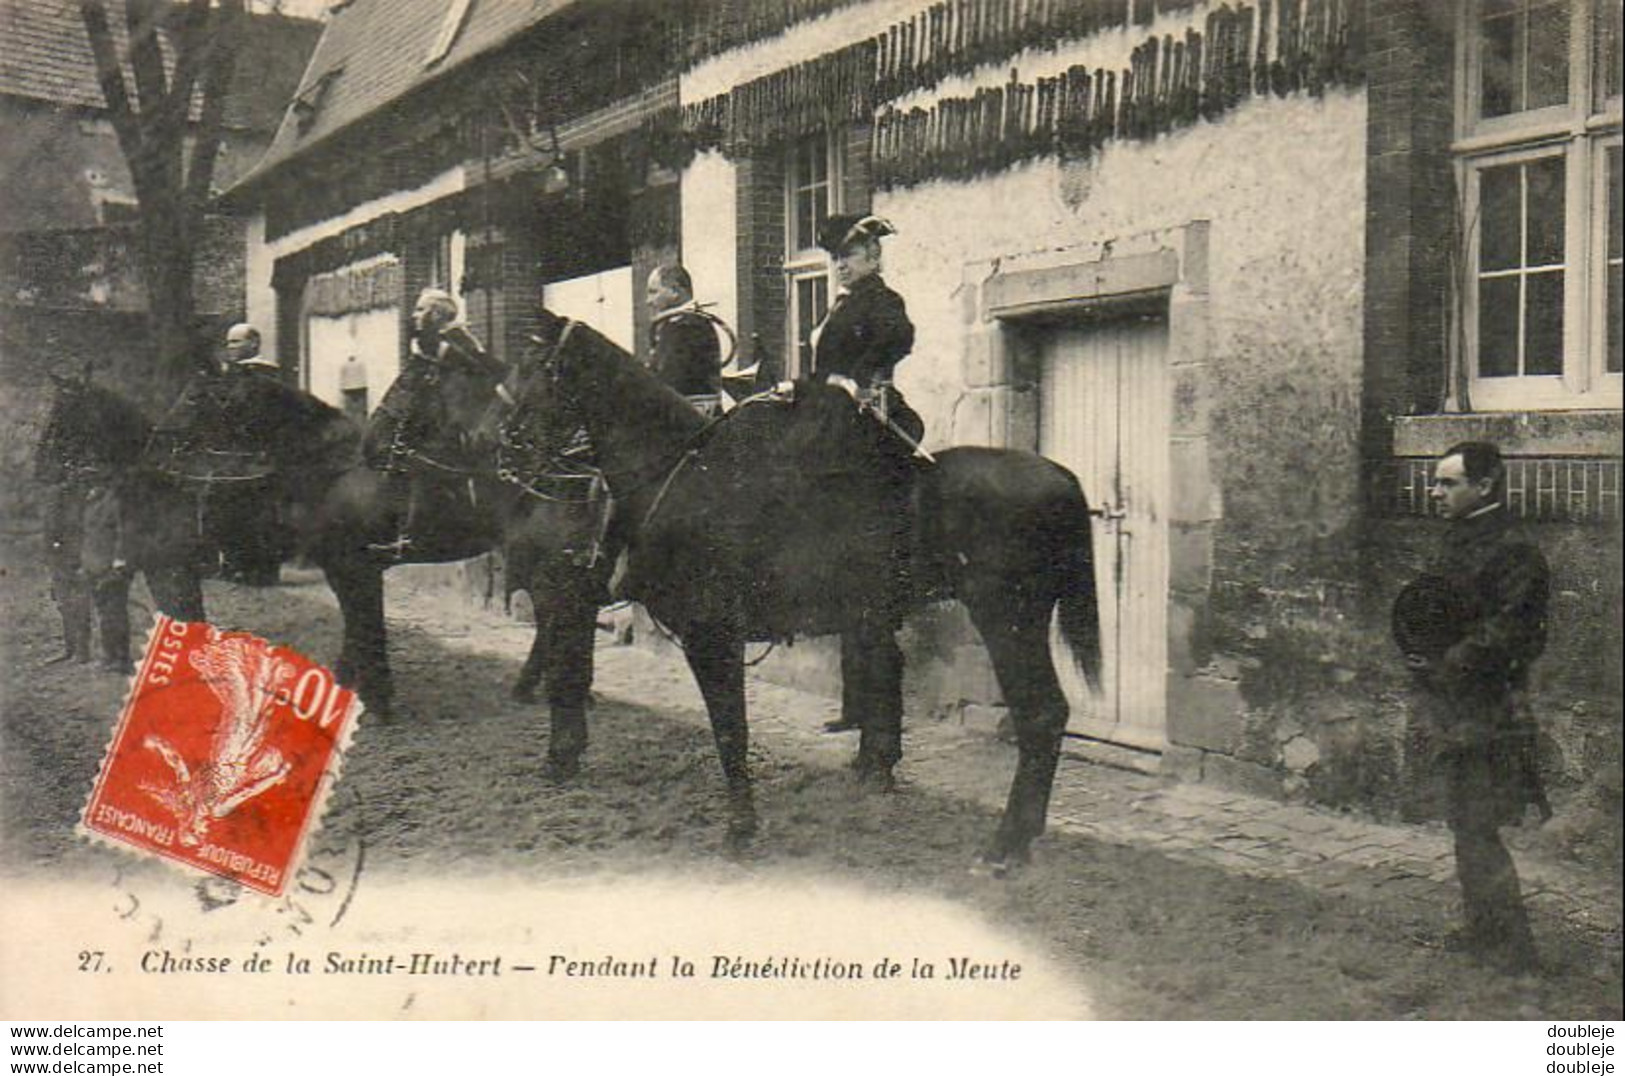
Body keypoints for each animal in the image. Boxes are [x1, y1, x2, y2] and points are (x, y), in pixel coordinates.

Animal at [520, 307, 1105, 871]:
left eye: (534, 369)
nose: (509, 450)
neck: (683, 477)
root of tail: (1060, 476)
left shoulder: (710, 636)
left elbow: (729, 729)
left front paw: (740, 827)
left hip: (1009, 618)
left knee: (1042, 715)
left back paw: (1006, 844)